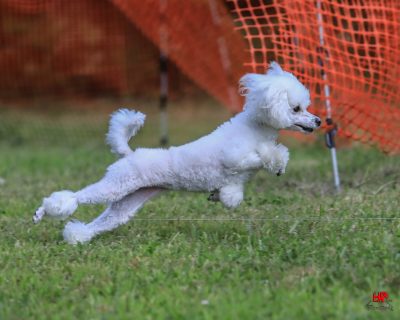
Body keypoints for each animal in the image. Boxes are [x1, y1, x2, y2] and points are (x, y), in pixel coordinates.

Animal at [33, 62, 322, 242]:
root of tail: (129, 154)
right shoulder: (234, 156)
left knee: (102, 221)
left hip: (128, 202)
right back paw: (44, 211)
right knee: (75, 197)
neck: (257, 126)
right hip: (116, 185)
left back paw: (78, 237)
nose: (319, 121)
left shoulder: (234, 186)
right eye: (296, 108)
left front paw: (217, 196)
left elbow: (232, 195)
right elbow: (260, 156)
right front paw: (275, 161)